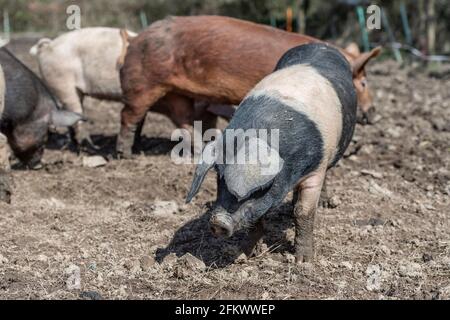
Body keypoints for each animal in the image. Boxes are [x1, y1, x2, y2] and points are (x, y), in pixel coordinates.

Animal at [185, 43, 356, 262]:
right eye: (219, 179)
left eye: (261, 189)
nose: (218, 223)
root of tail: (319, 44)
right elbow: (257, 217)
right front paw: (243, 254)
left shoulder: (315, 168)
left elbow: (304, 212)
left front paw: (303, 261)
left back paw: (325, 204)